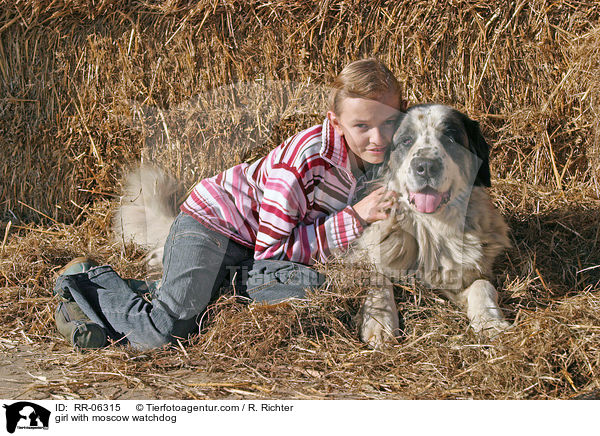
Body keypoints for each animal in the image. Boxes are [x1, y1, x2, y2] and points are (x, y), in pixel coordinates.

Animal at [354, 104, 512, 346]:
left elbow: (482, 286)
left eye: (450, 138)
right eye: (407, 140)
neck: (430, 227)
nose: (426, 166)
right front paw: (379, 324)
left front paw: (490, 322)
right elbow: (377, 278)